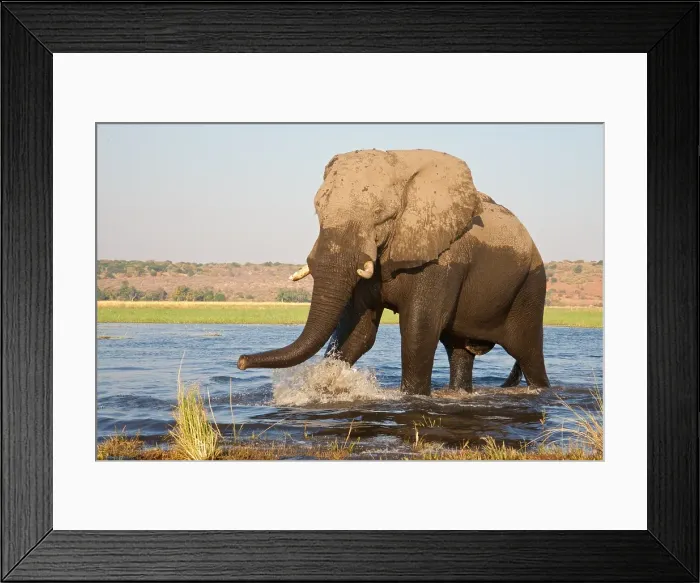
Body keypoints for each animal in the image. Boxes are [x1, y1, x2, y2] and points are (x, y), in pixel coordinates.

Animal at [237, 149, 550, 395]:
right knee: (460, 351)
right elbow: (358, 332)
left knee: (529, 354)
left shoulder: (441, 259)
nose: (241, 361)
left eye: (381, 215)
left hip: (531, 288)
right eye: (318, 210)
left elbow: (418, 328)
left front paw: (411, 397)